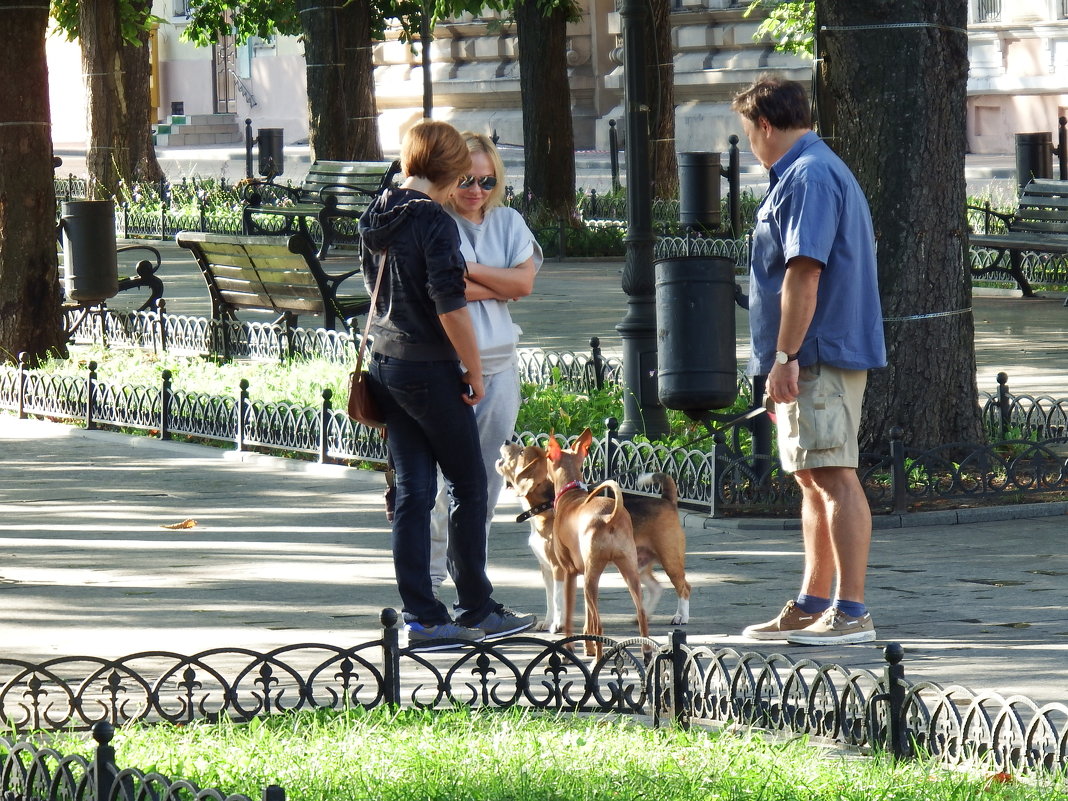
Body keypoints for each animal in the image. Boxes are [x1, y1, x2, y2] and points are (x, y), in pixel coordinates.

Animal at [493, 435, 692, 636]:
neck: (545, 507)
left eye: (521, 452)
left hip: (669, 559)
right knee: (656, 588)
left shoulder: (559, 569)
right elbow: (550, 599)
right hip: (636, 563)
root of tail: (667, 501)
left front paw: (557, 624)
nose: (506, 441)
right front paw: (548, 622)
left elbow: (557, 600)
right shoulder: (546, 569)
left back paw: (681, 616)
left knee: (684, 587)